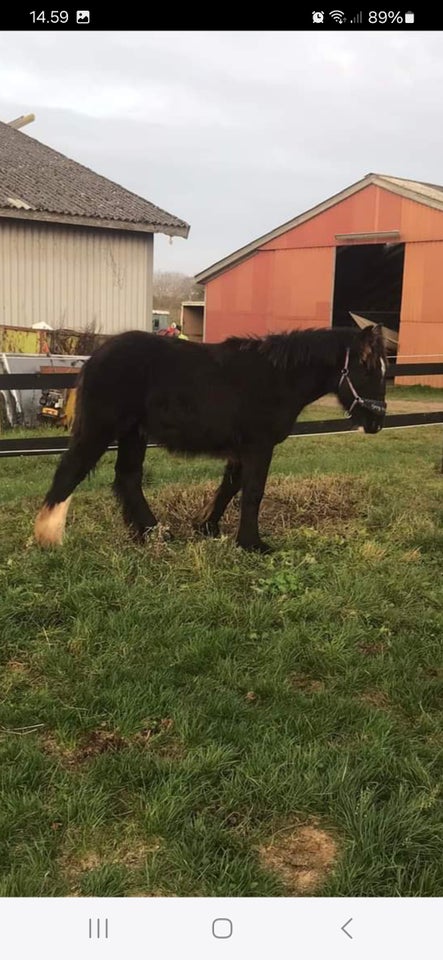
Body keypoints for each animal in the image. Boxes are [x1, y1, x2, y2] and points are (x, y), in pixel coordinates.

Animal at [34, 322, 386, 552]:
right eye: (367, 369)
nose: (377, 422)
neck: (277, 378)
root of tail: (95, 357)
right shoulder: (259, 446)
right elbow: (253, 492)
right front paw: (253, 543)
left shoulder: (242, 449)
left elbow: (230, 486)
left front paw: (207, 527)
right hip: (100, 429)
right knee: (70, 471)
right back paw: (48, 537)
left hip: (134, 434)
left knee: (128, 478)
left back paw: (153, 533)